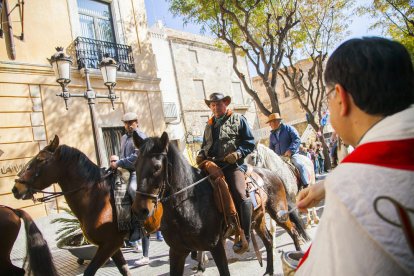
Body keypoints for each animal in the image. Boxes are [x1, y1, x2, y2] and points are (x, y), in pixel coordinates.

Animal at [12, 136, 131, 276]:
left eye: (40, 159)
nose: (16, 188)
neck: (98, 197)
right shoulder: (112, 245)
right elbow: (124, 270)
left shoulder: (110, 243)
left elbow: (89, 271)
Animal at [131, 133, 308, 274]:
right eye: (135, 166)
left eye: (157, 167)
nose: (140, 210)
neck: (187, 204)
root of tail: (272, 173)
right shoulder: (177, 251)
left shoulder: (216, 246)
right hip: (258, 219)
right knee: (269, 240)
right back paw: (269, 270)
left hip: (279, 213)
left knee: (293, 230)